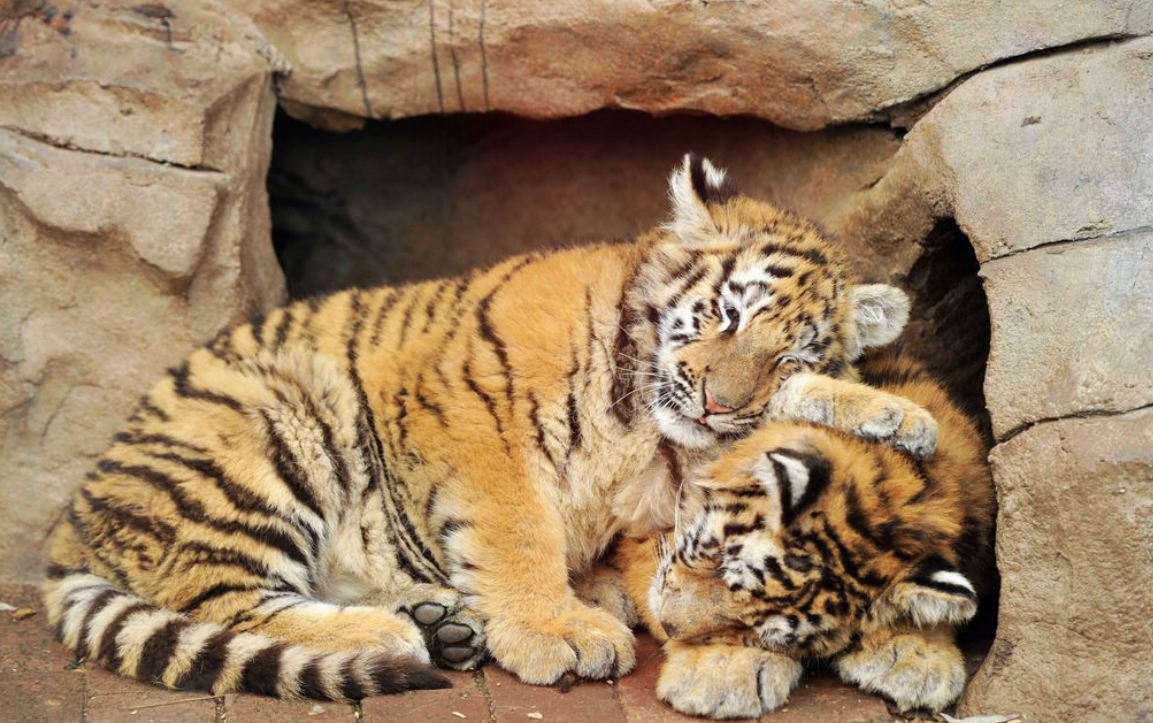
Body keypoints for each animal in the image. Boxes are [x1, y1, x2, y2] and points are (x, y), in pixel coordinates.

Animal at [41, 153, 937, 701]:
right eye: (725, 314)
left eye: (784, 355)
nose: (719, 401)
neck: (646, 417)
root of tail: (71, 517)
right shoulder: (480, 426)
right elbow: (517, 537)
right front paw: (559, 631)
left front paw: (898, 417)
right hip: (270, 426)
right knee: (216, 596)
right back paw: (393, 633)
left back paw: (441, 620)